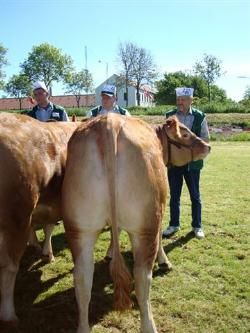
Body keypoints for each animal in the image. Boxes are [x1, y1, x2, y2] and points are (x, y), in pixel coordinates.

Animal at [61, 113, 210, 332]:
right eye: (185, 133)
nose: (207, 146)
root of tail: (109, 122)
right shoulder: (160, 210)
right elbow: (160, 239)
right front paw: (164, 261)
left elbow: (115, 232)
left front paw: (110, 253)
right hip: (145, 225)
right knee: (141, 279)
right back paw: (149, 325)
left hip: (79, 228)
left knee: (82, 279)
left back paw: (83, 326)